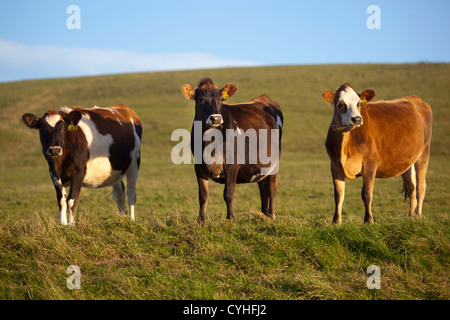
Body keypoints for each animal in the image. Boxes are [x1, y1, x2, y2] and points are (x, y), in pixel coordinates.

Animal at [181, 78, 284, 225]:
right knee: (263, 188)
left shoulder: (232, 164)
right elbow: (203, 195)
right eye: (201, 99)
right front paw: (201, 221)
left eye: (220, 99)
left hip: (274, 164)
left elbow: (228, 193)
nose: (216, 118)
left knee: (271, 188)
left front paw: (231, 219)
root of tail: (264, 98)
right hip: (261, 165)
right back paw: (264, 216)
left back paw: (271, 215)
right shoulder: (199, 166)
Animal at [320, 84, 432, 225]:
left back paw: (418, 215)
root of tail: (414, 98)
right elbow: (339, 195)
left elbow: (366, 193)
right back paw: (411, 216)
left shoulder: (370, 163)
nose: (357, 119)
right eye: (340, 104)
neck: (345, 146)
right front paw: (336, 221)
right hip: (406, 161)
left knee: (420, 188)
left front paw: (368, 220)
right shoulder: (335, 166)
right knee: (411, 187)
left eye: (359, 103)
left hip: (424, 152)